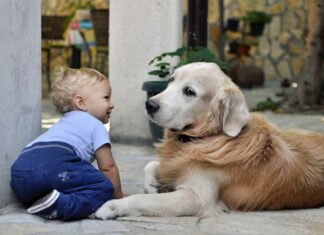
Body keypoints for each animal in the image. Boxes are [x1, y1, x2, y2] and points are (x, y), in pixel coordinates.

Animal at [95, 62, 324, 218]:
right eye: (171, 80)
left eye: (189, 91)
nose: (149, 104)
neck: (204, 138)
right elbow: (151, 165)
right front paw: (153, 184)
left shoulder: (196, 198)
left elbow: (143, 199)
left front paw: (113, 206)